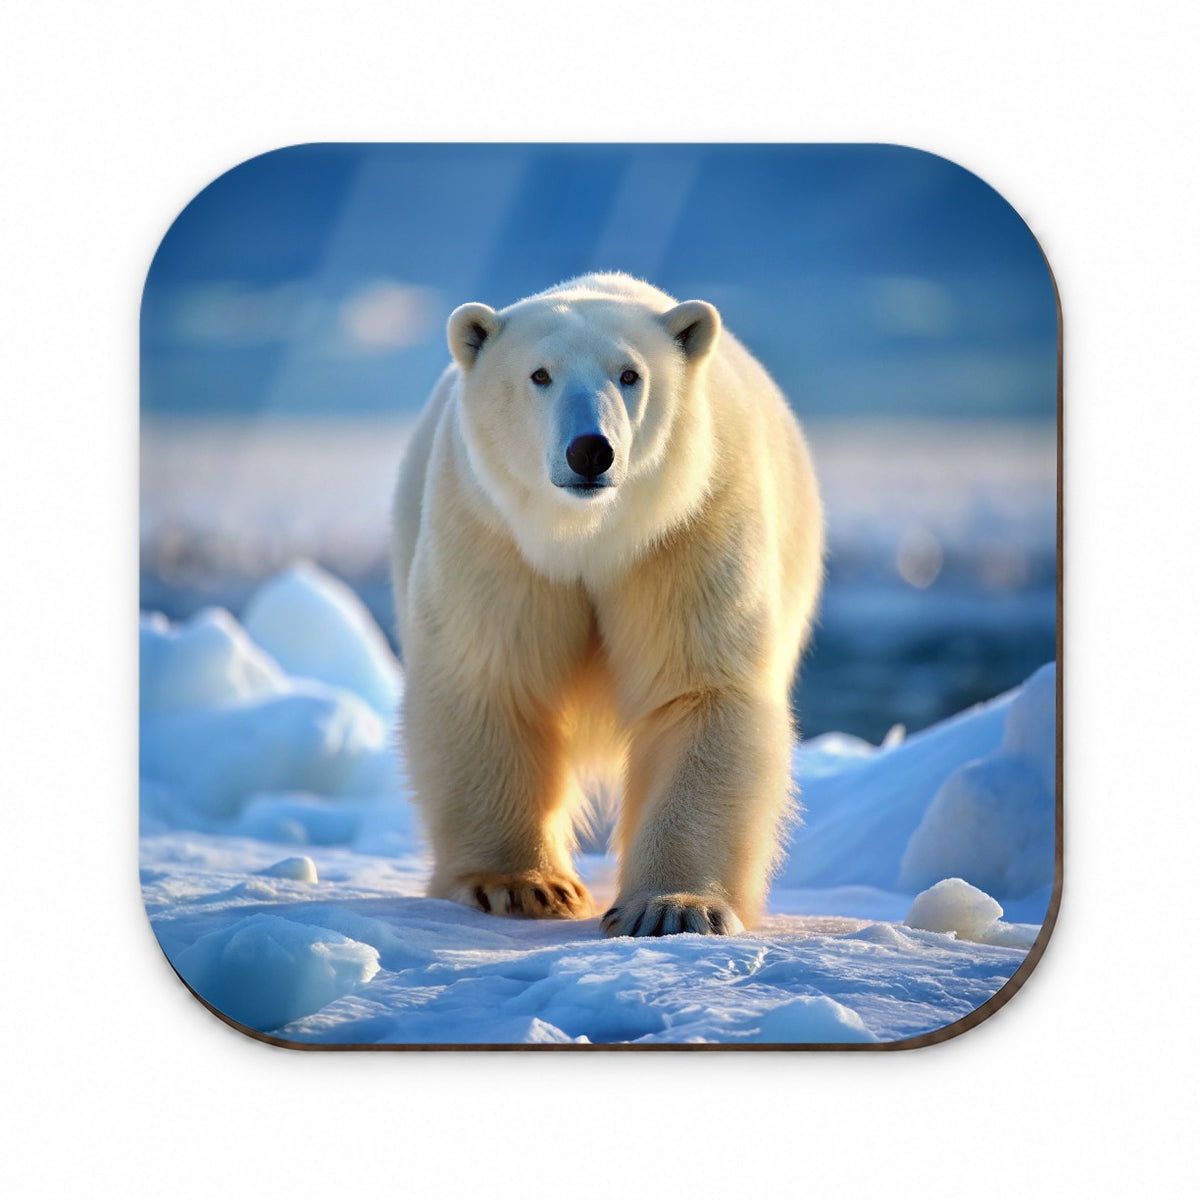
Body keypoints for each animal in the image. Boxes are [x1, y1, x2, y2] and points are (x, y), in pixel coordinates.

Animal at [391, 272, 824, 937]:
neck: (590, 536)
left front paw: (672, 907)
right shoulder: (492, 534)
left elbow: (697, 689)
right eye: (540, 373)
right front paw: (519, 886)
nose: (590, 451)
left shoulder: (688, 526)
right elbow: (492, 680)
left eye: (630, 374)